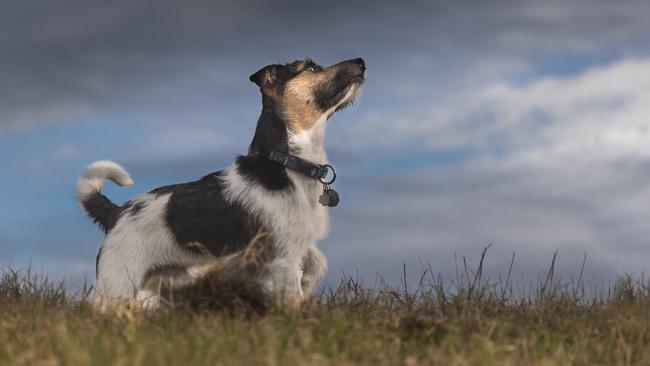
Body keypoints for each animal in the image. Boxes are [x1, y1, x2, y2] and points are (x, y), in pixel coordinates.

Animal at [76, 57, 364, 308]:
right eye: (312, 67)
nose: (361, 61)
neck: (286, 163)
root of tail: (117, 212)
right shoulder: (282, 256)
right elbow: (292, 295)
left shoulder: (298, 241)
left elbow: (319, 262)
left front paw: (308, 283)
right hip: (118, 283)